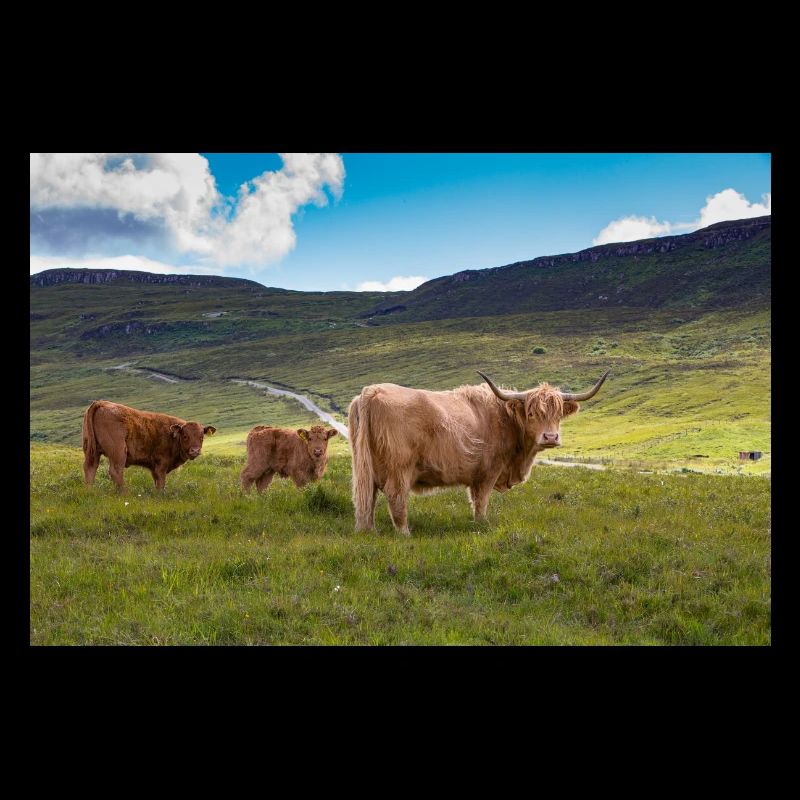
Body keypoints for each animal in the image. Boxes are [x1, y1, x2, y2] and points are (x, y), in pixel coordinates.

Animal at [82, 400, 217, 491]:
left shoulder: (153, 467)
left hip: (92, 450)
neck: (172, 434)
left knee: (90, 467)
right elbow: (161, 482)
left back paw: (90, 490)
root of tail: (102, 403)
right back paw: (124, 493)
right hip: (118, 451)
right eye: (185, 436)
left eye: (202, 437)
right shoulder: (161, 465)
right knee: (115, 471)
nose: (195, 451)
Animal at [347, 370, 609, 535]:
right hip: (399, 469)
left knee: (366, 498)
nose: (551, 437)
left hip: (365, 468)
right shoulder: (487, 473)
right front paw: (482, 525)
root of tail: (372, 390)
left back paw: (368, 530)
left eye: (557, 414)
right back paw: (404, 534)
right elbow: (481, 503)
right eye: (531, 413)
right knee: (395, 497)